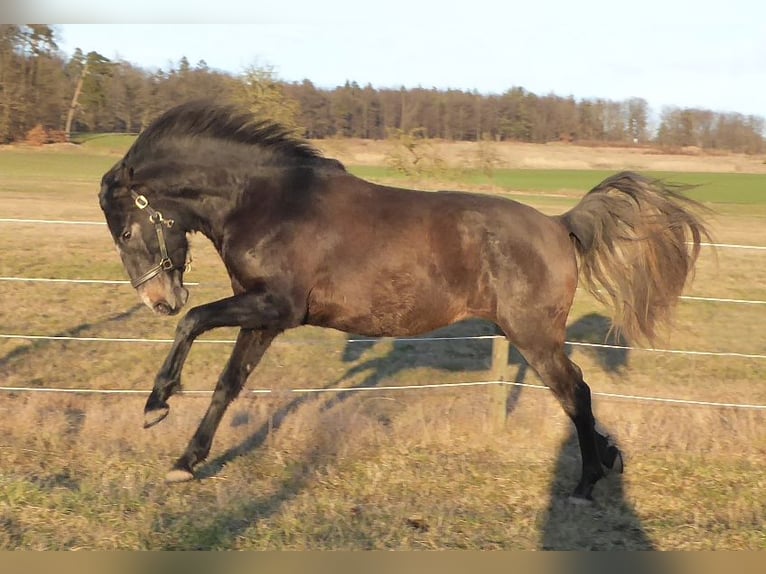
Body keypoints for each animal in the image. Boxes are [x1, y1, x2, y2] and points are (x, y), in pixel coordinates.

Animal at [99, 101, 712, 502]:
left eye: (126, 231)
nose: (159, 299)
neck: (274, 202)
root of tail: (560, 225)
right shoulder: (264, 317)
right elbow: (228, 386)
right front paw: (186, 462)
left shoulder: (276, 307)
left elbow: (195, 323)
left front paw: (156, 407)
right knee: (578, 392)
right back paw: (608, 459)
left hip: (533, 336)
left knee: (575, 392)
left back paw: (585, 482)